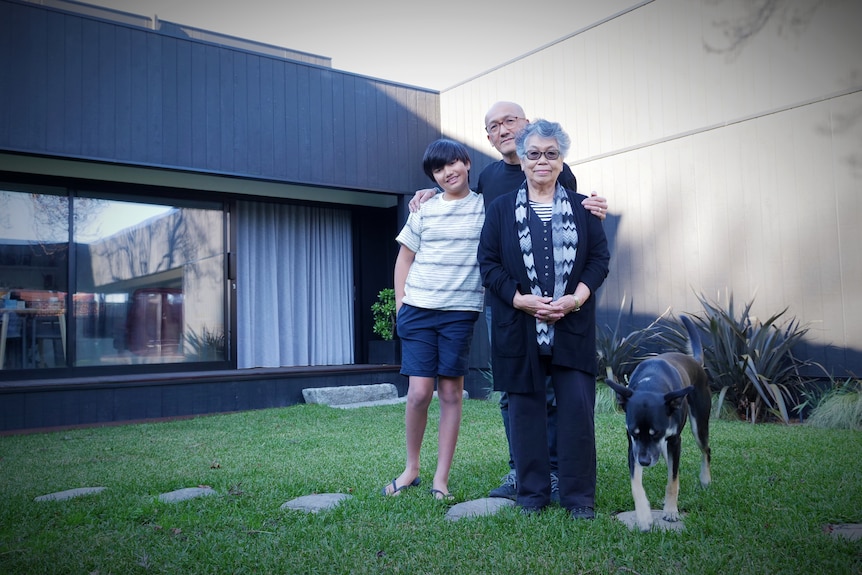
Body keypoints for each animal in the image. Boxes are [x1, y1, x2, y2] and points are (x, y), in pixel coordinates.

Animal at [604, 316, 712, 532]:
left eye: (657, 432)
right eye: (635, 433)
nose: (645, 461)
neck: (651, 384)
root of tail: (695, 361)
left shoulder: (674, 441)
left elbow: (673, 479)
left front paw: (670, 511)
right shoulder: (633, 447)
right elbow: (636, 484)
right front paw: (644, 517)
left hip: (700, 424)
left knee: (706, 449)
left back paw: (706, 479)